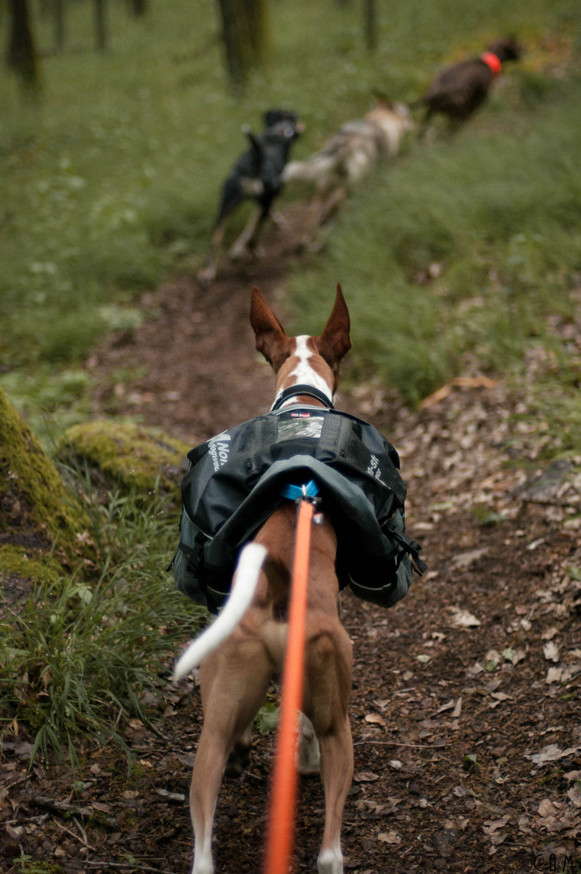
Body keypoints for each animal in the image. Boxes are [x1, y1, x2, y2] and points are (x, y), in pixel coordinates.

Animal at [172, 286, 354, 872]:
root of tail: (276, 592)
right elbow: (304, 727)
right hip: (340, 724)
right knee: (329, 846)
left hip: (213, 729)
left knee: (204, 842)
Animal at [198, 107, 302, 282]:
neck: (278, 132)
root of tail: (253, 163)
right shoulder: (267, 199)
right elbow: (251, 229)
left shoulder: (263, 201)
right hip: (256, 201)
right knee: (253, 235)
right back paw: (254, 251)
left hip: (225, 206)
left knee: (215, 239)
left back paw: (209, 273)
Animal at [282, 97, 412, 235]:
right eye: (407, 114)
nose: (412, 123)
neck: (381, 118)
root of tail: (343, 142)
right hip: (350, 187)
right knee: (343, 209)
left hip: (325, 184)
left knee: (316, 209)